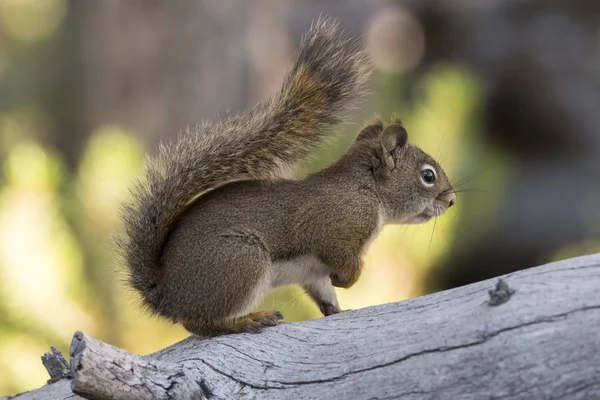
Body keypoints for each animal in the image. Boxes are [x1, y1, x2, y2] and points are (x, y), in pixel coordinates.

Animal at [117, 17, 454, 336]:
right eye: (428, 176)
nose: (451, 201)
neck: (369, 190)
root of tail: (166, 294)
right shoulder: (337, 229)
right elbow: (343, 261)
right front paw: (350, 279)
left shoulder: (314, 272)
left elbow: (324, 291)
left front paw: (338, 308)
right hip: (241, 261)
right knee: (201, 323)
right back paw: (248, 320)